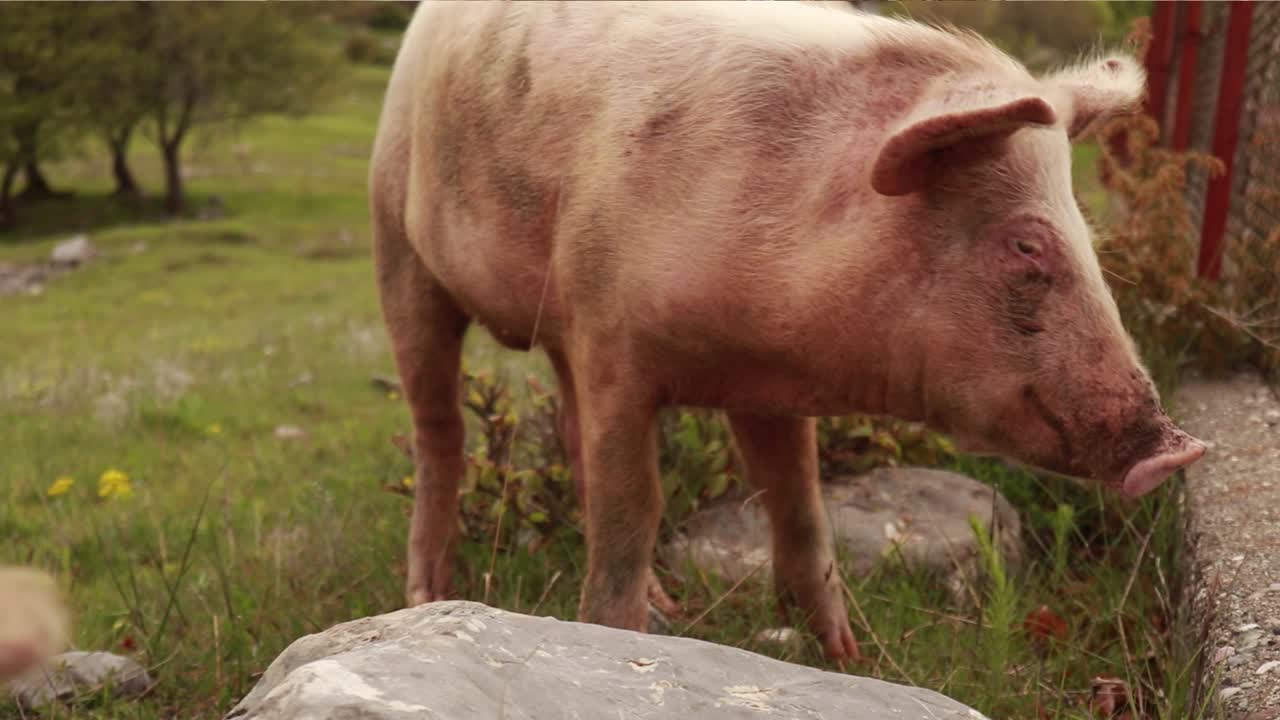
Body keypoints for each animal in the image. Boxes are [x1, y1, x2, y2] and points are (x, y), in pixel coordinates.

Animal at [369, 0, 1205, 659]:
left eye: (1085, 230)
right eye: (1027, 244)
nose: (1180, 449)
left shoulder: (757, 384)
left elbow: (802, 509)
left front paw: (850, 659)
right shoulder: (611, 335)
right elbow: (633, 507)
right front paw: (617, 639)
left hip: (553, 325)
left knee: (568, 429)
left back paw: (668, 602)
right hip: (399, 243)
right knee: (439, 431)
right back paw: (424, 594)